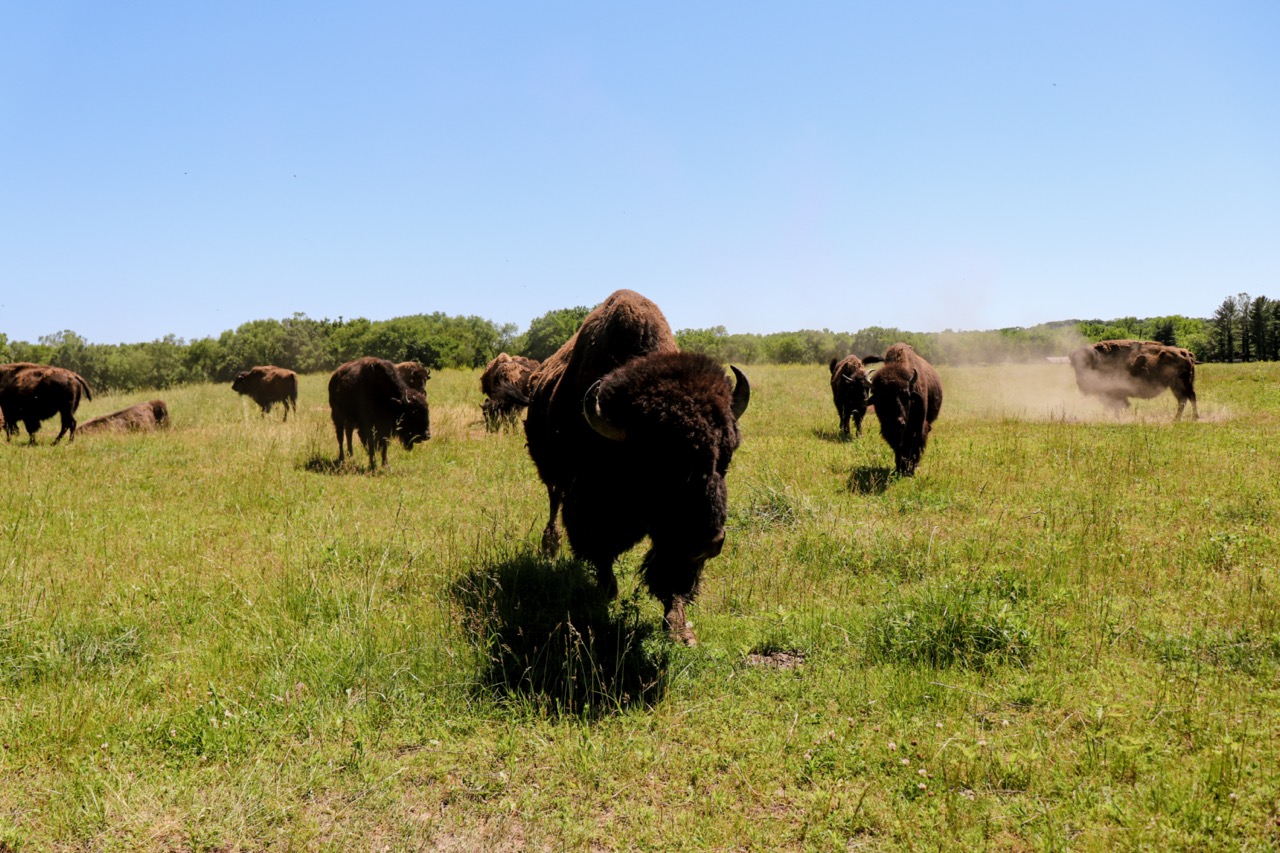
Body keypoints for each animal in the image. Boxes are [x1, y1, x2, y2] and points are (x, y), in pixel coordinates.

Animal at [524, 289, 750, 645]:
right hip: (551, 474)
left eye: (725, 457)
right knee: (553, 501)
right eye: (657, 462)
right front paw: (606, 595)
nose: (708, 542)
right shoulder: (589, 507)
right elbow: (600, 553)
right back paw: (551, 545)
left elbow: (672, 576)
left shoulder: (675, 543)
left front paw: (680, 630)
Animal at [866, 343, 943, 476]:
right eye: (880, 397)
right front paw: (900, 468)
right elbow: (898, 448)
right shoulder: (889, 431)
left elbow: (915, 446)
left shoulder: (918, 427)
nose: (897, 422)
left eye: (905, 394)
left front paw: (911, 469)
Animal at [1068, 339, 1198, 420]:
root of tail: (1186, 352)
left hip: (1180, 384)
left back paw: (1186, 419)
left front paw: (1115, 418)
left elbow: (1117, 405)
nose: (1080, 384)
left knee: (1187, 398)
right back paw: (1184, 419)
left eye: (1088, 364)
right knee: (1186, 399)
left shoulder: (1114, 393)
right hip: (1180, 385)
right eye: (1074, 366)